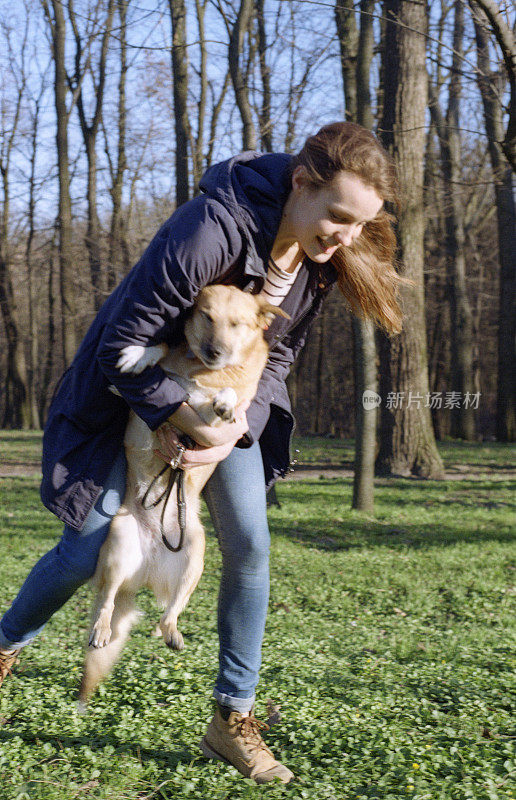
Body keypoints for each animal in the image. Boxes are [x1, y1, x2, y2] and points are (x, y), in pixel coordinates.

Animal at [79, 284, 290, 704]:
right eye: (207, 316)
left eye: (238, 324)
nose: (214, 351)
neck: (206, 372)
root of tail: (146, 570)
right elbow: (162, 349)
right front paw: (137, 356)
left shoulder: (208, 425)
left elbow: (224, 400)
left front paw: (224, 400)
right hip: (118, 548)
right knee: (107, 601)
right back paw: (102, 630)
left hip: (196, 555)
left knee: (168, 615)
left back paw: (173, 635)